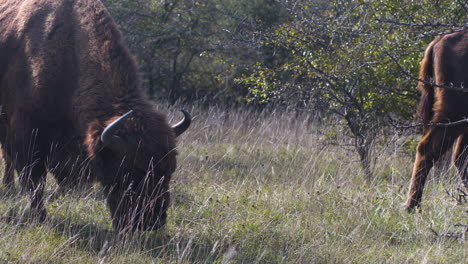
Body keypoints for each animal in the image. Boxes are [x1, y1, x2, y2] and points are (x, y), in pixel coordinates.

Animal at [0, 0, 191, 231]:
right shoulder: (25, 135)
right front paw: (41, 219)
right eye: (128, 171)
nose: (152, 222)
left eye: (170, 169)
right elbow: (34, 181)